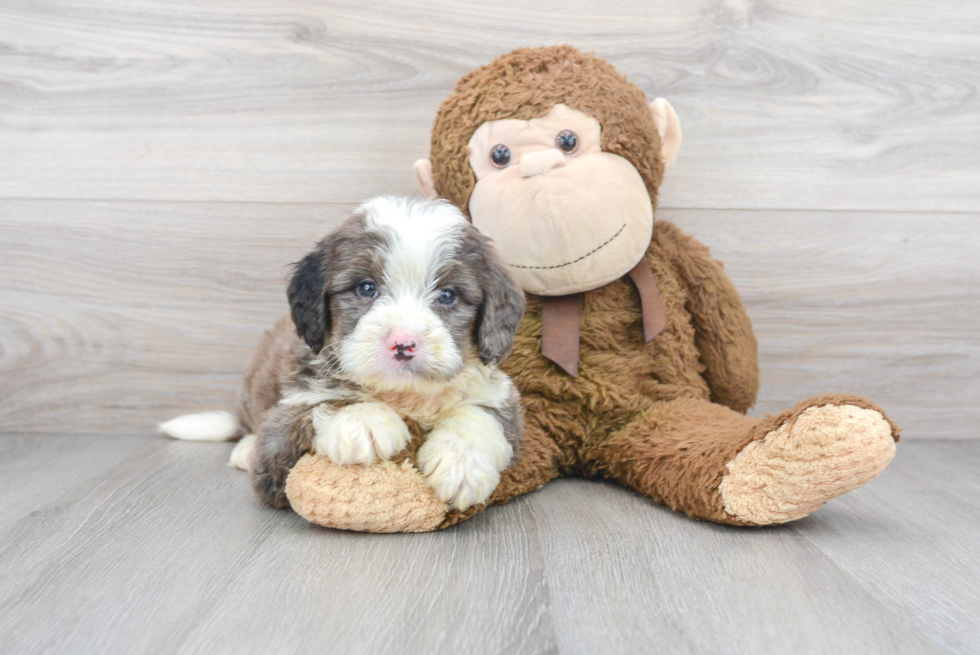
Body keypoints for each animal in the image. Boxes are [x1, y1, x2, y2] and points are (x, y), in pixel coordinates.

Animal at [163, 196, 528, 512]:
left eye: (449, 295)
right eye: (366, 287)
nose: (403, 343)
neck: (401, 395)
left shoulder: (502, 398)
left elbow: (479, 414)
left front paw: (462, 463)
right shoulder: (281, 436)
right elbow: (315, 406)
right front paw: (364, 419)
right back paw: (244, 448)